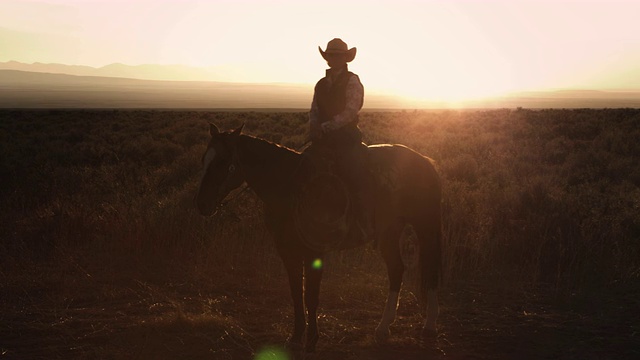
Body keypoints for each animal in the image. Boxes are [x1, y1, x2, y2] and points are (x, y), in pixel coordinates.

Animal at [194, 123, 440, 352]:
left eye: (222, 161)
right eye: (204, 159)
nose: (202, 204)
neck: (290, 187)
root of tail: (425, 161)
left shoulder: (314, 251)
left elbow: (311, 296)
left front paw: (312, 340)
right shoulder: (286, 250)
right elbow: (296, 293)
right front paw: (295, 337)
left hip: (425, 228)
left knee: (431, 271)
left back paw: (429, 327)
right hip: (390, 230)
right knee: (396, 269)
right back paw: (383, 328)